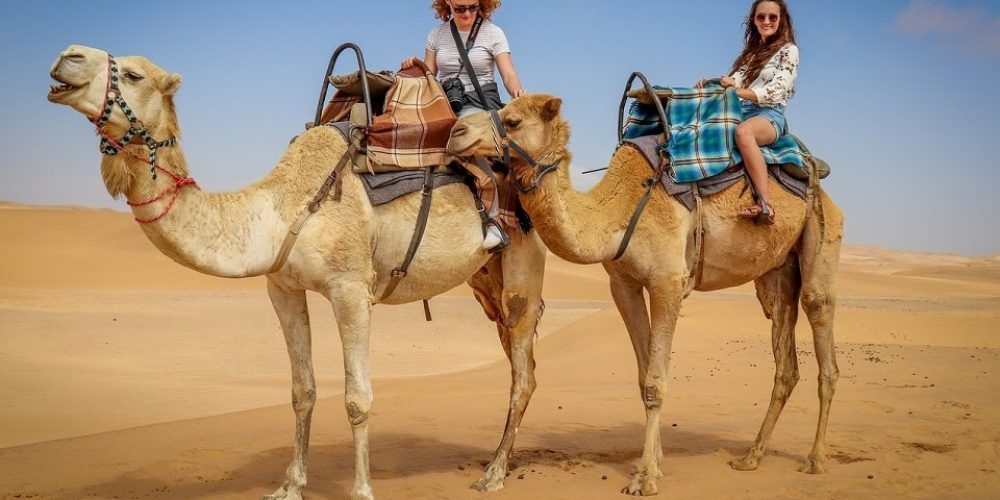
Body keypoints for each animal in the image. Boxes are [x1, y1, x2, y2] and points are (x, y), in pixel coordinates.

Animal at [47, 45, 547, 500]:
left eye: (133, 74)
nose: (66, 57)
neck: (281, 207)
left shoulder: (350, 288)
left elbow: (357, 398)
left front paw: (361, 491)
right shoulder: (282, 288)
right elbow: (301, 390)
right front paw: (290, 485)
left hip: (522, 263)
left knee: (523, 374)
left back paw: (493, 475)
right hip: (486, 280)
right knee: (518, 362)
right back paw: (496, 462)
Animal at [448, 94, 844, 496]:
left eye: (511, 120)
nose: (456, 132)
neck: (616, 212)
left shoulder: (668, 280)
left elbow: (656, 382)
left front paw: (644, 478)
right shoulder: (623, 285)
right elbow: (642, 378)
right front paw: (656, 465)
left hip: (822, 235)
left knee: (820, 323)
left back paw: (815, 459)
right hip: (776, 273)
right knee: (785, 355)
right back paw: (751, 457)